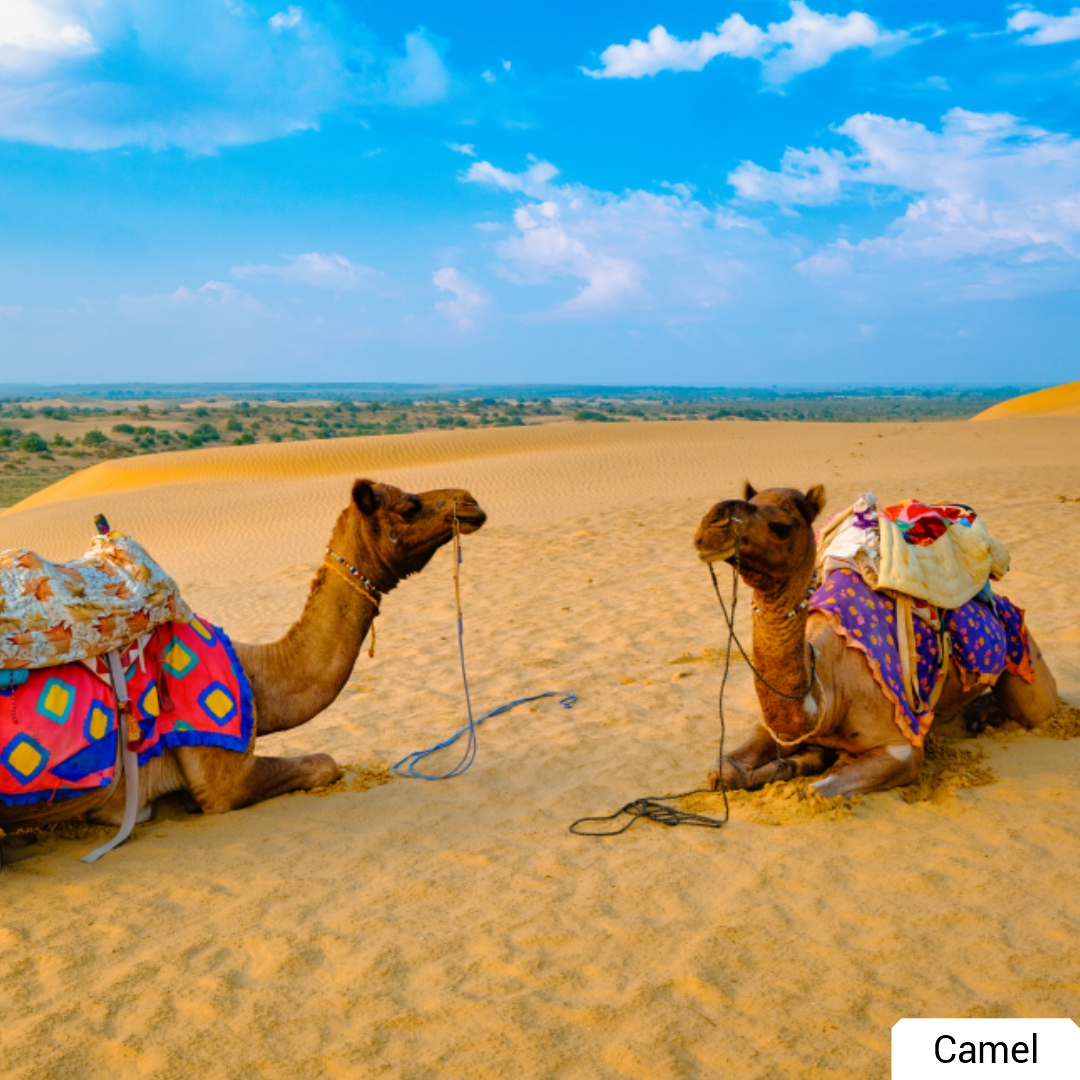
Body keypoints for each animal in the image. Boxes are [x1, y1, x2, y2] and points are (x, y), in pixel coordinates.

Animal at [693, 483, 1057, 797]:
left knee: (1036, 709)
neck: (828, 691)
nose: (711, 523)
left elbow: (816, 789)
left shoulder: (902, 749)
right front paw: (801, 760)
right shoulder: (775, 728)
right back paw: (977, 715)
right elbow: (723, 770)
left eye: (780, 527)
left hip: (1026, 659)